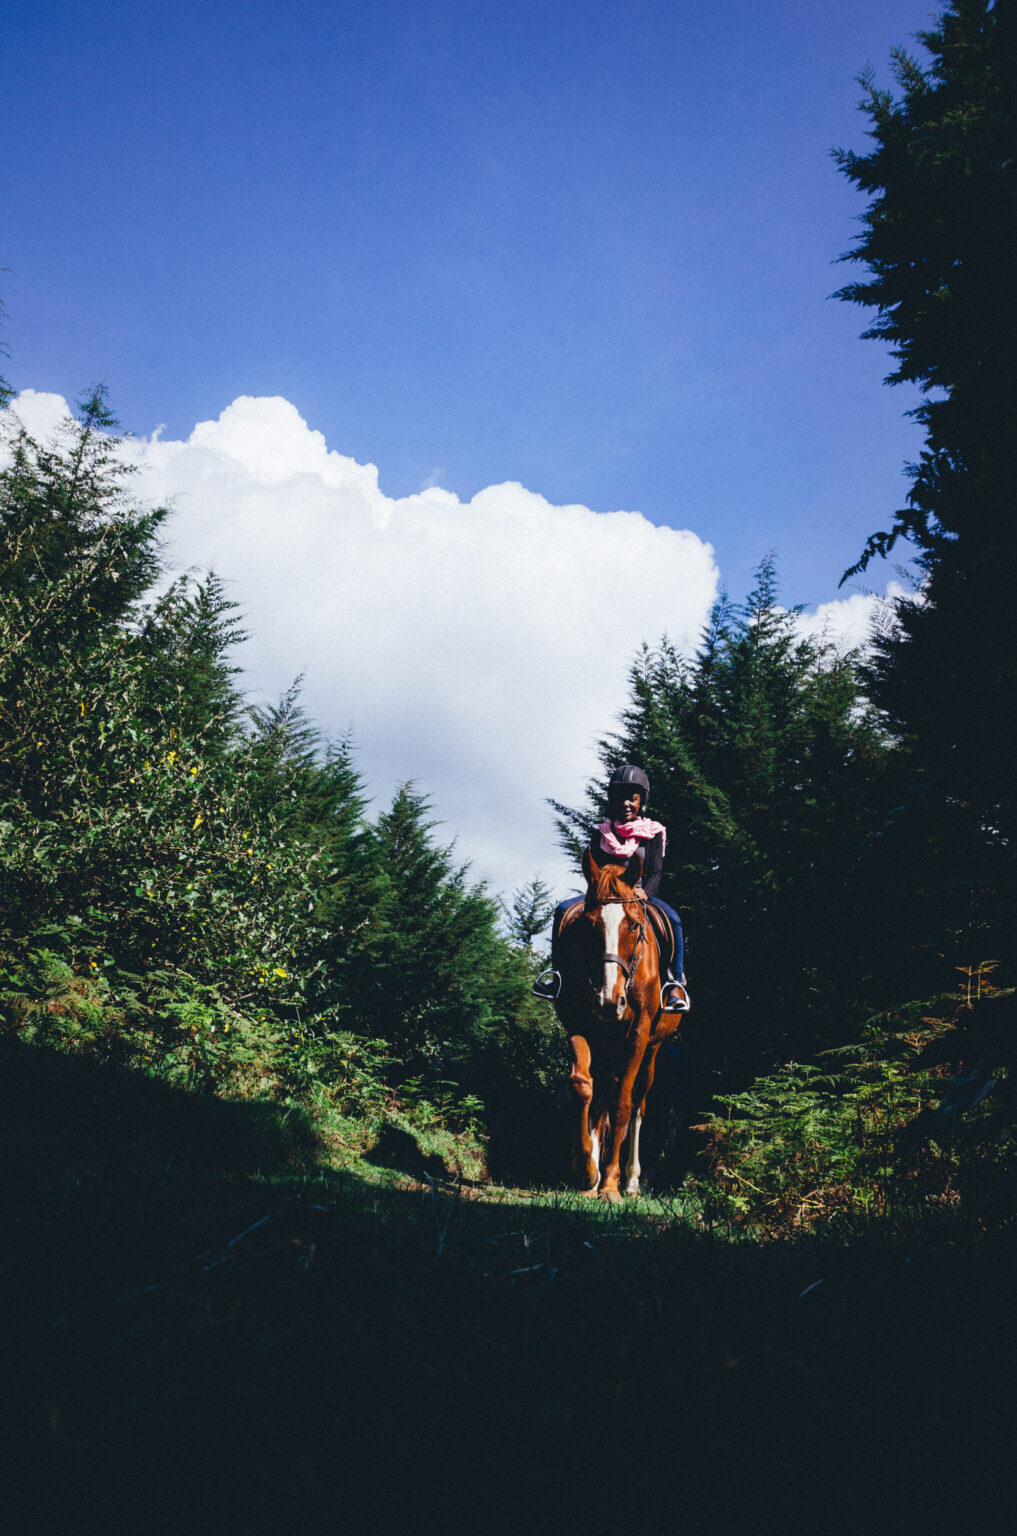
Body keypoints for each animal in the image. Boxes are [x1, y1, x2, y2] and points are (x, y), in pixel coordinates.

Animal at [553, 844, 687, 1201]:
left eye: (635, 926)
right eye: (588, 925)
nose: (609, 1000)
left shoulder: (638, 1033)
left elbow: (622, 1104)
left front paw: (610, 1185)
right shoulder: (579, 1024)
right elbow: (583, 1087)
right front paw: (587, 1172)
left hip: (652, 1048)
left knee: (638, 1102)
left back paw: (630, 1181)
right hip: (607, 1047)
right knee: (600, 1095)